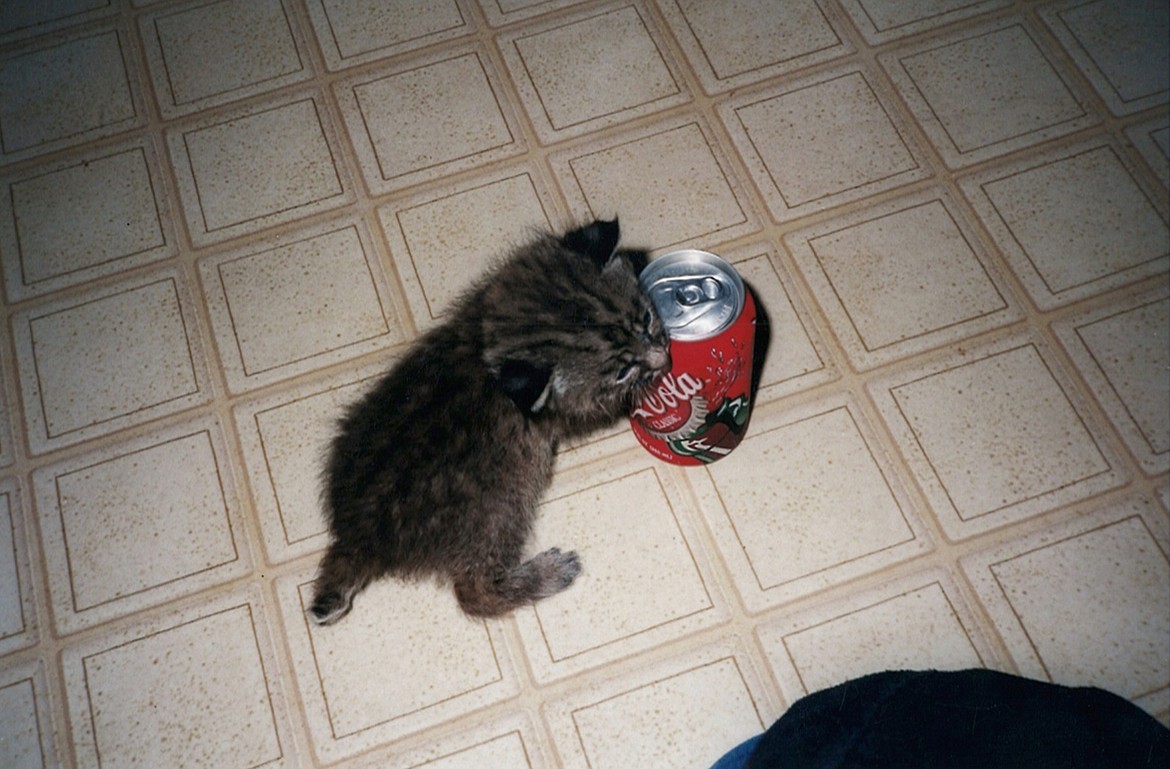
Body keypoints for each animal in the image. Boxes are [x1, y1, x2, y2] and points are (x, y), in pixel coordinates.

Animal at [308, 217, 669, 622]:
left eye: (647, 319)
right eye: (621, 372)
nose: (664, 357)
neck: (484, 340)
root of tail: (357, 535)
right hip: (498, 513)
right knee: (474, 594)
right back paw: (544, 575)